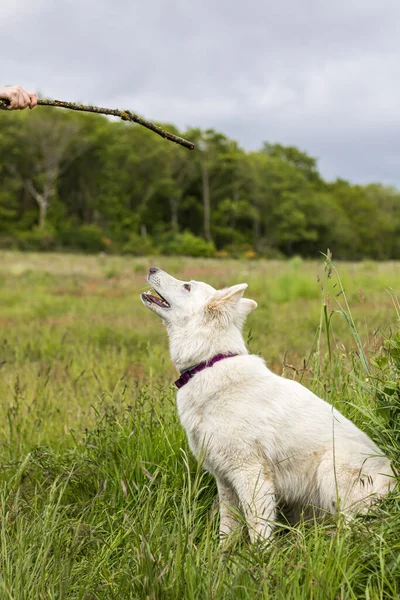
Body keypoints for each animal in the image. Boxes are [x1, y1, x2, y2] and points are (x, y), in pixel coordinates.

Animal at [141, 270, 394, 540]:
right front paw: (224, 553)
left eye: (187, 286)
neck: (209, 363)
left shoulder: (251, 474)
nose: (152, 269)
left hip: (329, 469)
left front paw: (259, 553)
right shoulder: (225, 481)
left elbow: (258, 530)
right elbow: (227, 530)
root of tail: (393, 485)